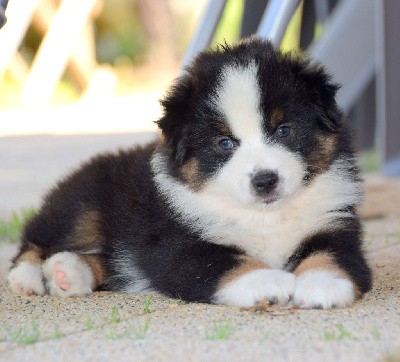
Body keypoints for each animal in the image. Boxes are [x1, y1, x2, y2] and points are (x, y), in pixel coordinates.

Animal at [7, 36, 372, 308]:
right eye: (224, 143)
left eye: (283, 130)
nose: (265, 181)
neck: (265, 217)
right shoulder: (175, 241)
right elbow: (223, 261)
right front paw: (271, 282)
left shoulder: (334, 222)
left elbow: (332, 255)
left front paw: (323, 286)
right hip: (82, 203)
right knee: (36, 238)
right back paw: (29, 277)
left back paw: (68, 273)